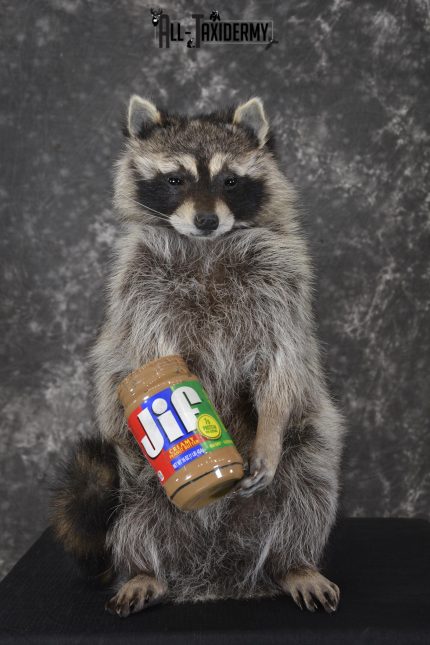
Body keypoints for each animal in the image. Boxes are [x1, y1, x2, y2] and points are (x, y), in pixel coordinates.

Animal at [51, 96, 344, 616]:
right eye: (175, 180)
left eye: (229, 180)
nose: (207, 220)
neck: (207, 247)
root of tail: (215, 577)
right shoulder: (142, 287)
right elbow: (150, 354)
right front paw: (178, 411)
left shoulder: (281, 283)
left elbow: (282, 363)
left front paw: (269, 427)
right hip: (133, 478)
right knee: (131, 515)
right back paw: (145, 571)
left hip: (307, 448)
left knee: (309, 486)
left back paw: (294, 563)